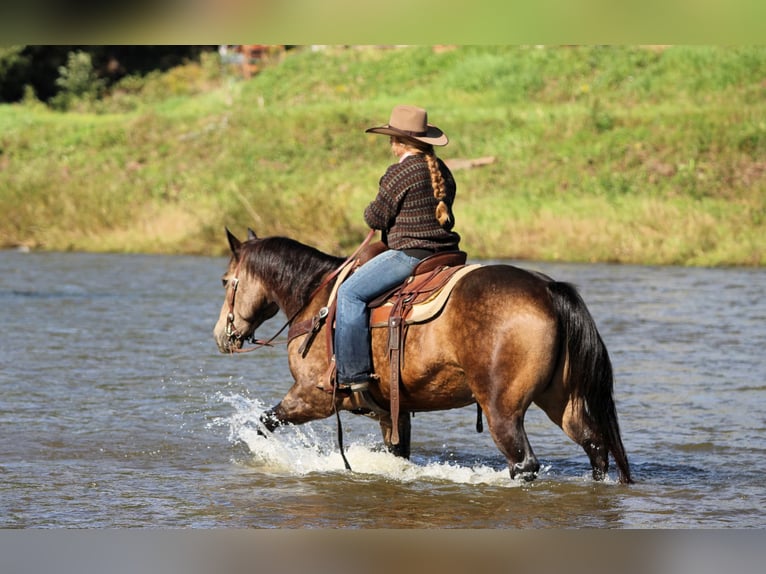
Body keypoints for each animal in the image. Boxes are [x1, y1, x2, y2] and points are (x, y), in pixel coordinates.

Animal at [213, 228, 633, 484]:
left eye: (224, 281)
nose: (222, 335)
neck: (318, 299)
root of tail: (548, 290)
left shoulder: (310, 396)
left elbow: (263, 423)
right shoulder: (391, 412)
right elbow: (397, 454)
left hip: (503, 410)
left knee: (524, 463)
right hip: (562, 400)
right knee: (595, 446)